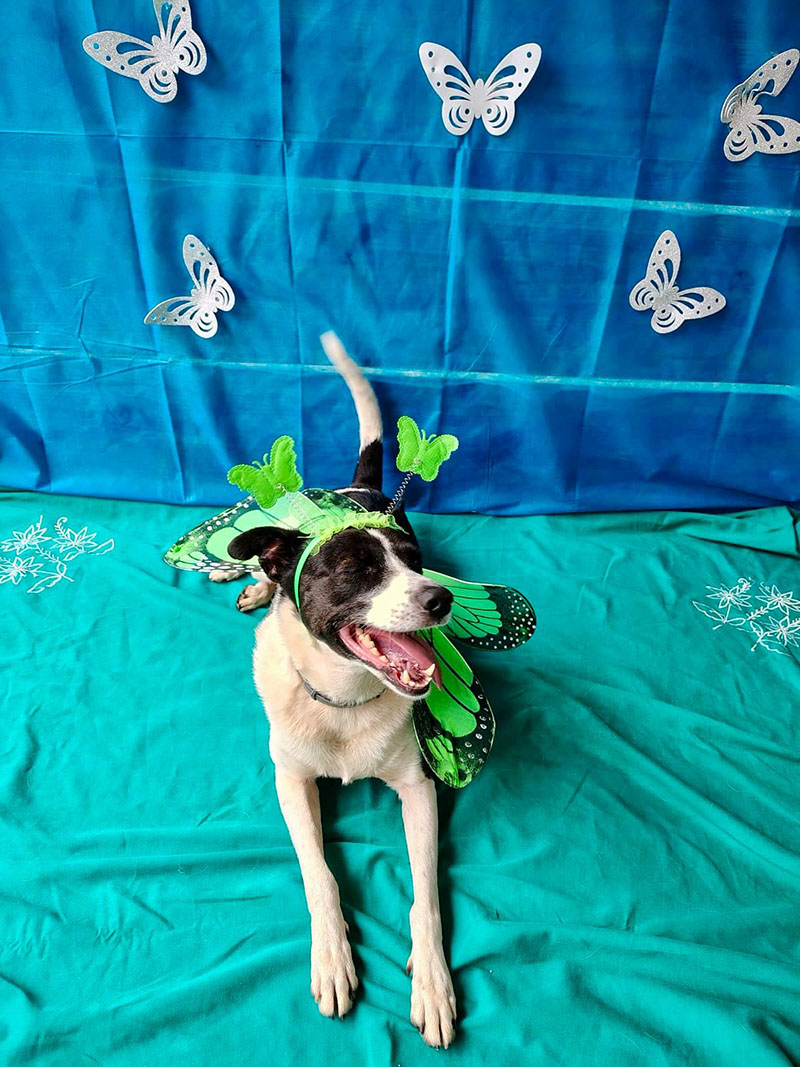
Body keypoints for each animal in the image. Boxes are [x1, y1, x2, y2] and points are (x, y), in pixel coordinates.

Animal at [211, 333, 457, 1048]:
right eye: (354, 568)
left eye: (413, 561)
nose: (441, 599)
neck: (345, 701)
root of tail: (359, 487)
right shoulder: (290, 781)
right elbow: (318, 874)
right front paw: (332, 958)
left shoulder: (419, 790)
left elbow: (426, 895)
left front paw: (433, 983)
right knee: (262, 561)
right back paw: (252, 580)